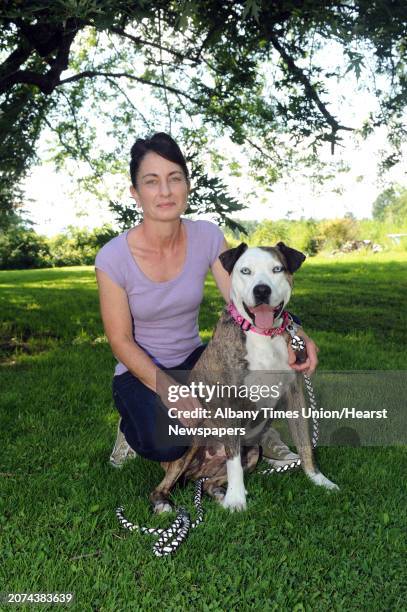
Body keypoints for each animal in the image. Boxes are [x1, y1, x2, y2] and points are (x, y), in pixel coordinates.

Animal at [151, 241, 340, 512]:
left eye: (277, 269)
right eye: (245, 271)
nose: (262, 290)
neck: (263, 335)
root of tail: (199, 473)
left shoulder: (294, 394)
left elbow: (305, 442)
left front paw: (318, 479)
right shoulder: (229, 401)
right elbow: (233, 461)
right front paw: (237, 498)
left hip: (252, 452)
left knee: (211, 483)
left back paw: (219, 494)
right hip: (194, 437)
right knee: (162, 485)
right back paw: (164, 503)